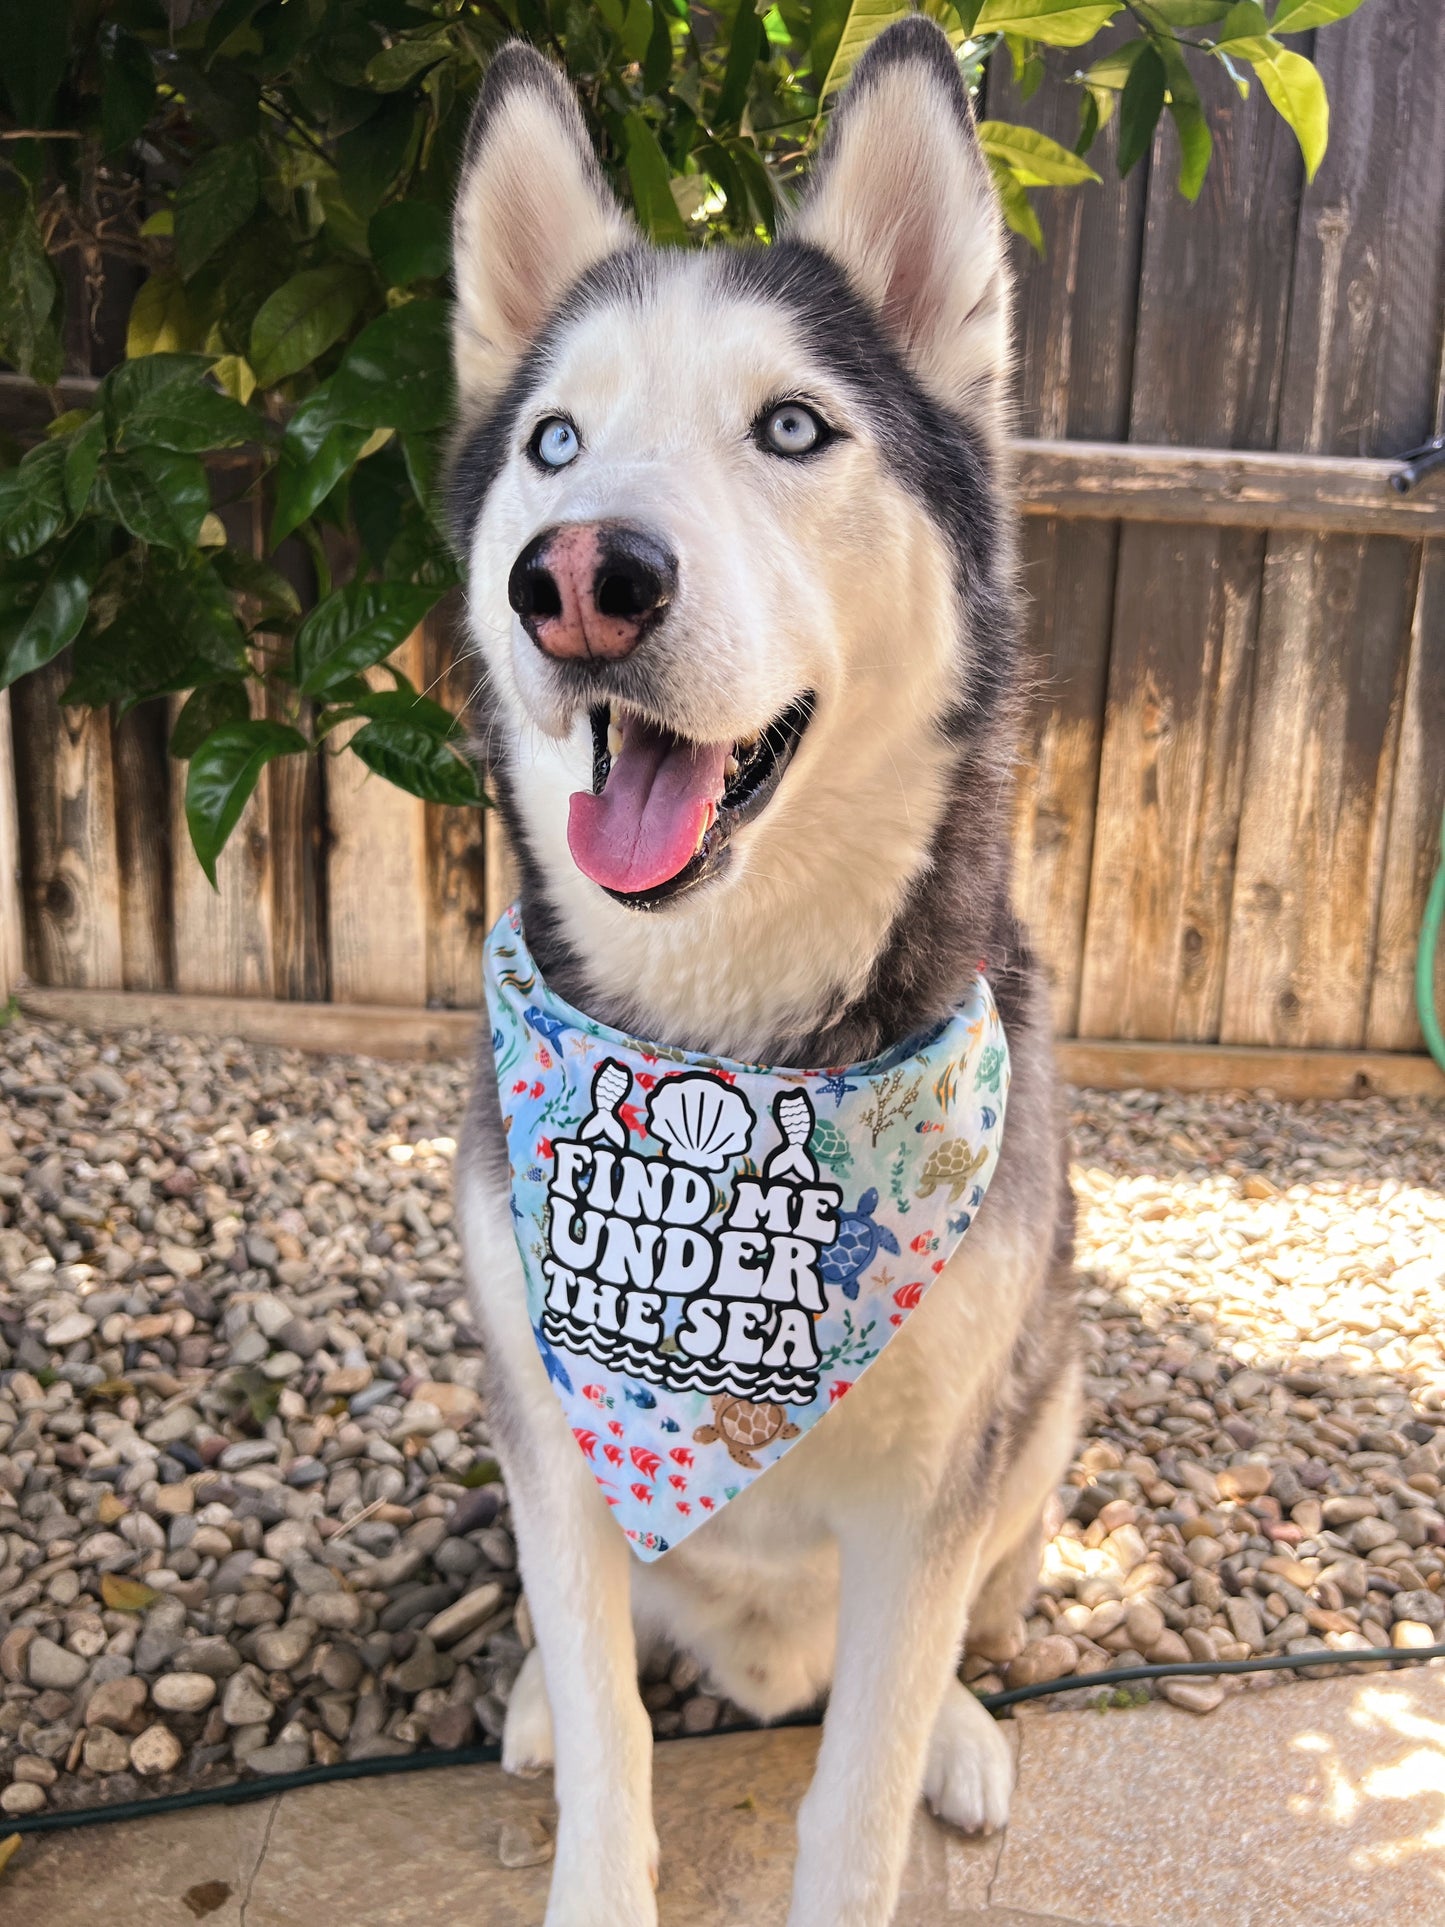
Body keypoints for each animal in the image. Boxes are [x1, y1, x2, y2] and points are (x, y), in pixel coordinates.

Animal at [446, 18, 1078, 1927]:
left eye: (793, 426)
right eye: (555, 441)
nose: (581, 575)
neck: (725, 1045)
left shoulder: (931, 1493)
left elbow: (854, 1799)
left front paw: (905, 1762)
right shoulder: (557, 1425)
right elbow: (612, 1747)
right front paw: (581, 1774)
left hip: (1045, 1407)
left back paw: (960, 1724)